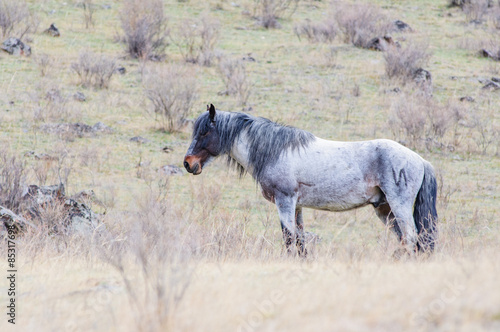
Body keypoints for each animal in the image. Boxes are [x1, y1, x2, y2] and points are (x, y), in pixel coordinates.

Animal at [184, 105, 438, 255]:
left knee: (410, 238)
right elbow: (299, 242)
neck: (276, 151)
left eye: (205, 132)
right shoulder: (296, 206)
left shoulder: (285, 202)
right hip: (384, 209)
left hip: (398, 206)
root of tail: (420, 160)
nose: (188, 163)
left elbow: (288, 239)